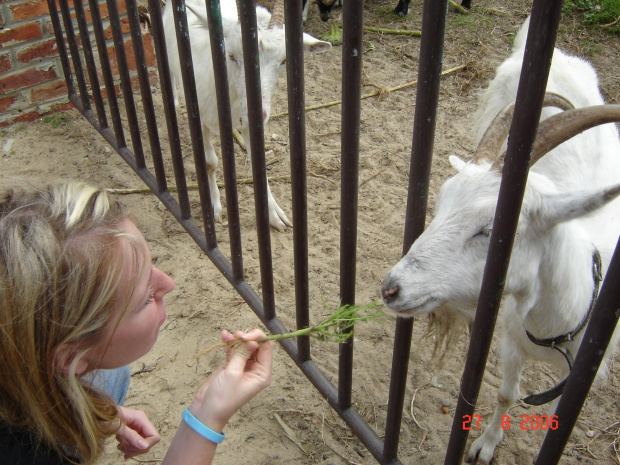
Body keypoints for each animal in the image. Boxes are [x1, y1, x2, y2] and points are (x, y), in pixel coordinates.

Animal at [162, 0, 332, 230]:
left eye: (283, 61)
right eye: (231, 55)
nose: (258, 113)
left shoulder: (249, 125)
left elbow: (258, 165)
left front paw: (274, 215)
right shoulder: (201, 117)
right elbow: (210, 162)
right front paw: (216, 208)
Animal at [380, 16, 620, 462]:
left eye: (491, 231)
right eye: (439, 204)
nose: (391, 288)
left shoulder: (580, 380)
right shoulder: (511, 338)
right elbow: (507, 395)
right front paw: (484, 446)